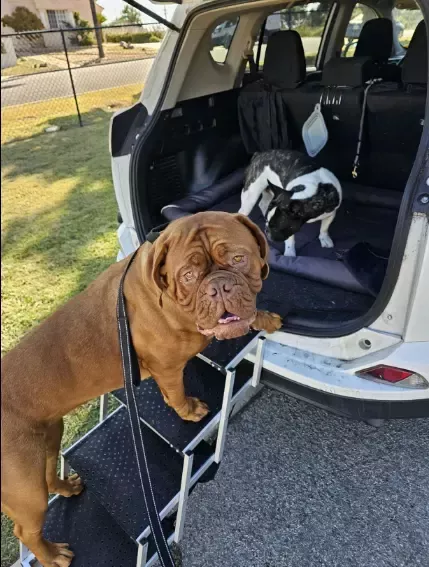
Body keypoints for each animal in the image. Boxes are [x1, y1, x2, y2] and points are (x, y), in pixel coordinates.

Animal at [1, 212, 281, 567]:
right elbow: (176, 394)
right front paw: (190, 411)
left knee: (49, 472)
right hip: (25, 487)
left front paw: (265, 318)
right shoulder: (168, 367)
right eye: (188, 276)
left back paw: (66, 488)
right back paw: (53, 556)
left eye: (238, 259)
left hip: (47, 440)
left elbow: (249, 314)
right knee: (26, 530)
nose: (219, 287)